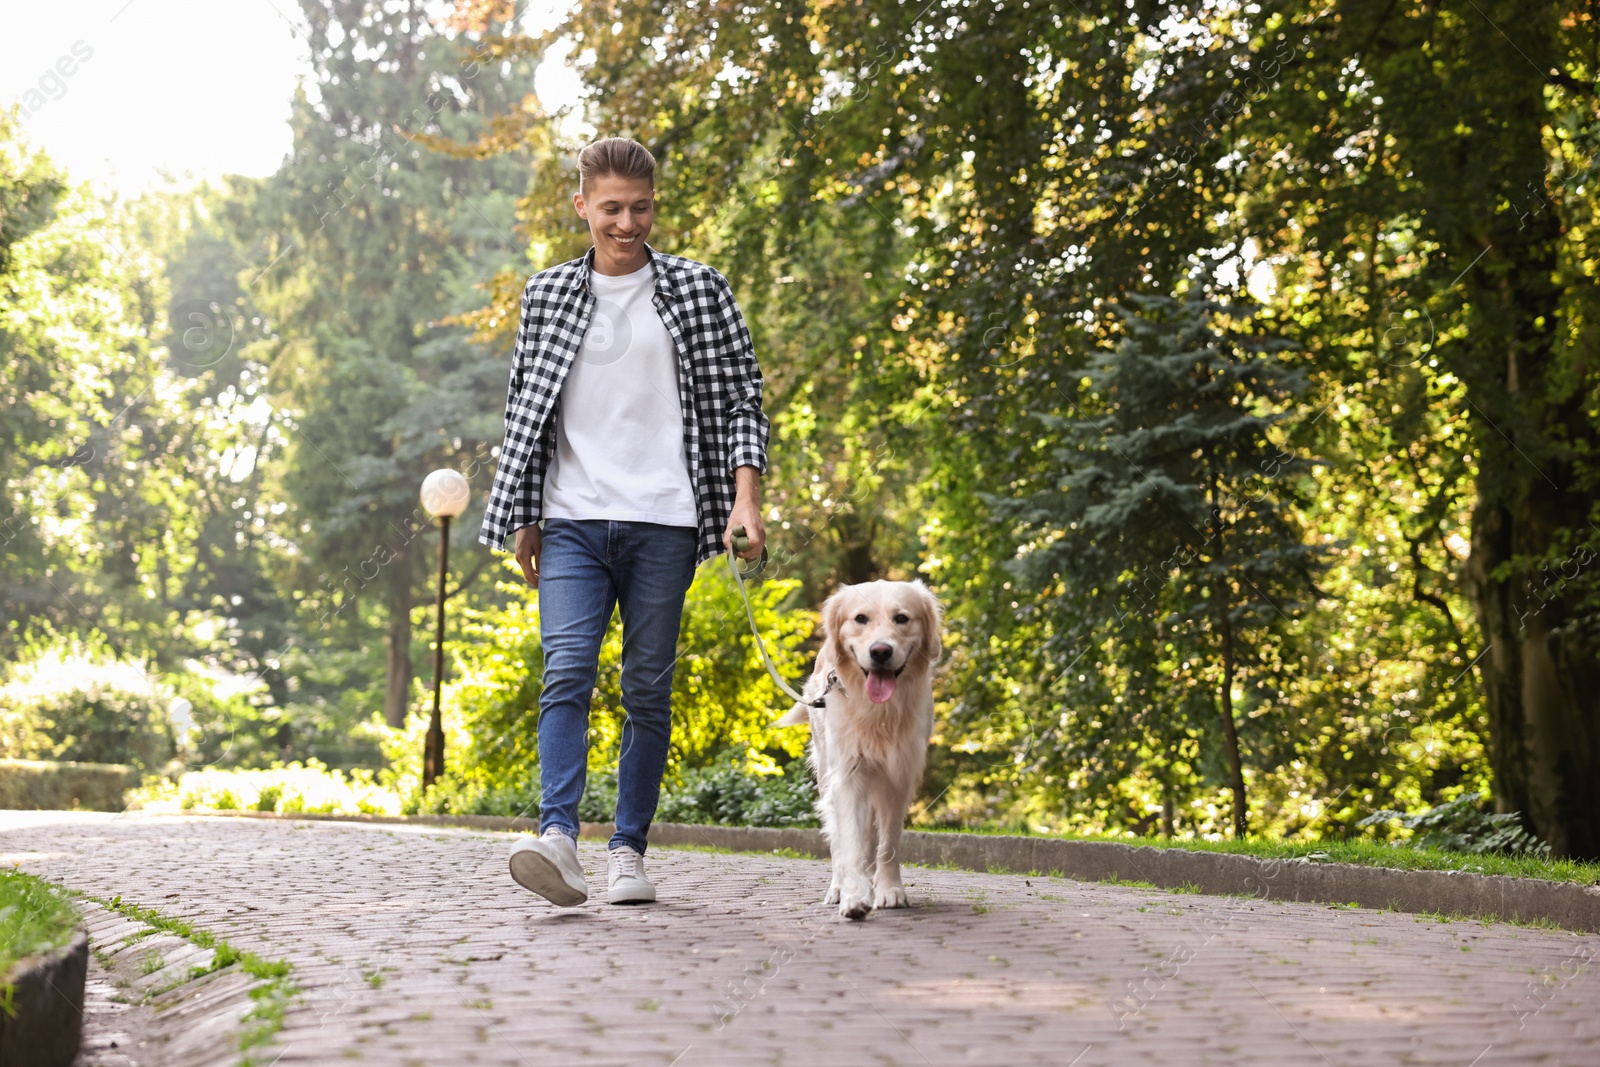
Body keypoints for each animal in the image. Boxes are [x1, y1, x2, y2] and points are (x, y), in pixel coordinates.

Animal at [780, 579, 940, 921]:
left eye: (902, 618)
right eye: (860, 619)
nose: (880, 651)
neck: (878, 712)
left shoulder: (897, 776)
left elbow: (888, 843)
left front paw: (890, 890)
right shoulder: (849, 774)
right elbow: (850, 842)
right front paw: (854, 896)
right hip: (827, 771)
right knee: (841, 841)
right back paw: (840, 887)